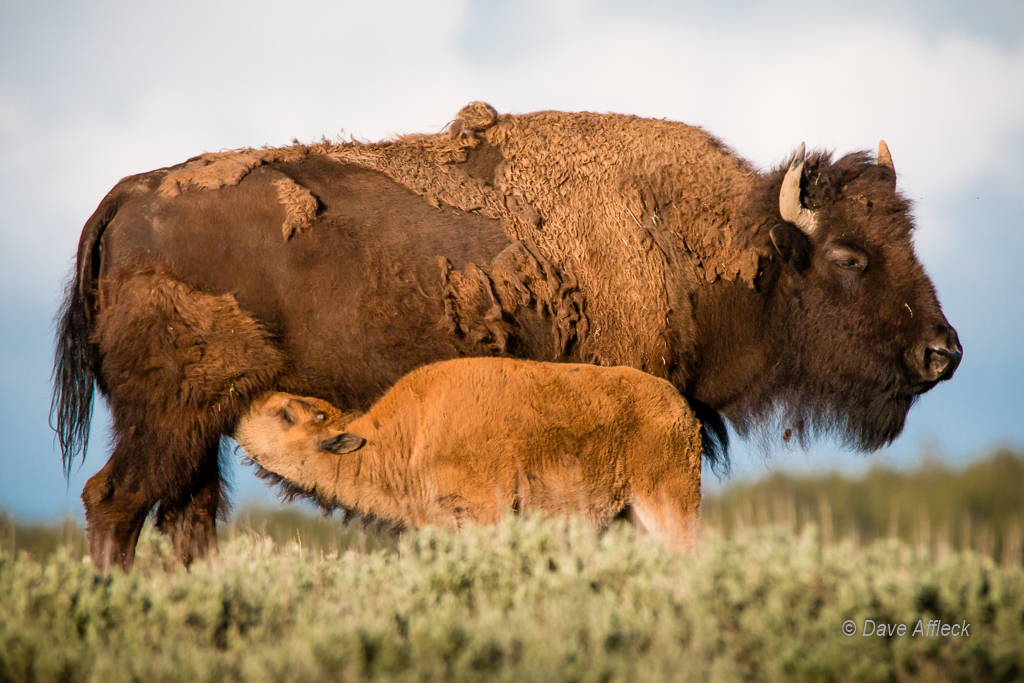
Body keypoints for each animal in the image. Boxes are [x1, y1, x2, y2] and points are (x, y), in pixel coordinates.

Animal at [235, 358, 704, 548]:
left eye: (285, 414)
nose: (244, 406)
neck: (408, 437)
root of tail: (679, 407)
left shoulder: (486, 513)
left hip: (669, 504)